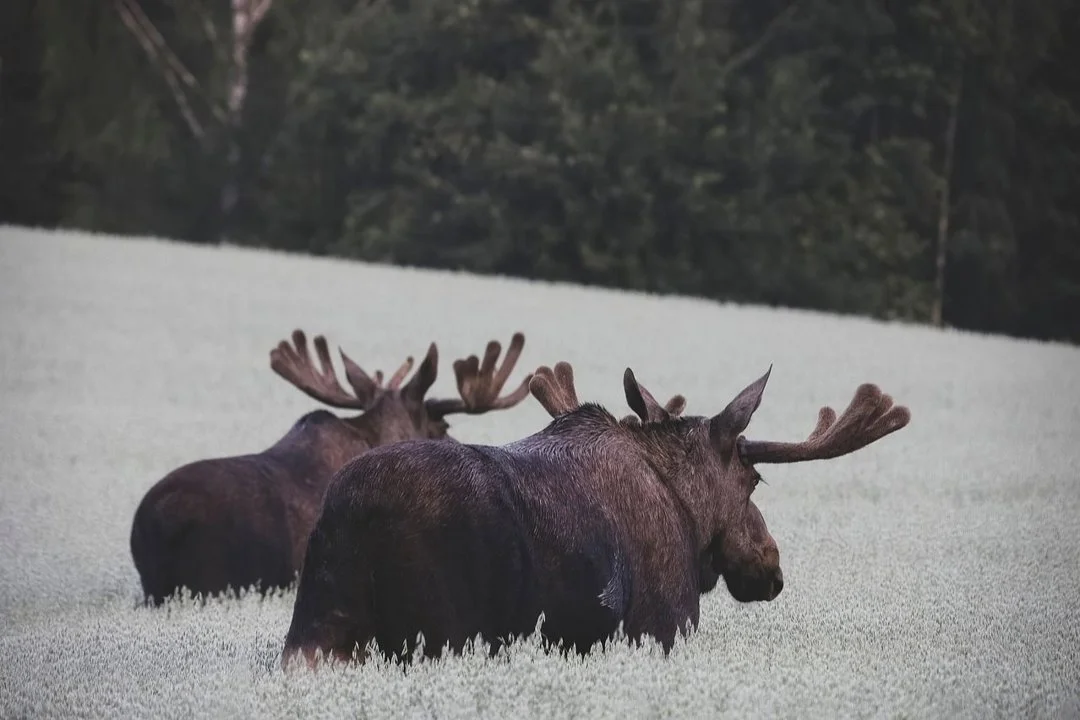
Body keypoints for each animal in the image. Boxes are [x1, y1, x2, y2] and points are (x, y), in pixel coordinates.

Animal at [279, 359, 911, 669]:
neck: (687, 515)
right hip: (439, 634)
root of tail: (350, 520)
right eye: (754, 480)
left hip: (315, 633)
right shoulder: (661, 626)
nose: (770, 567)